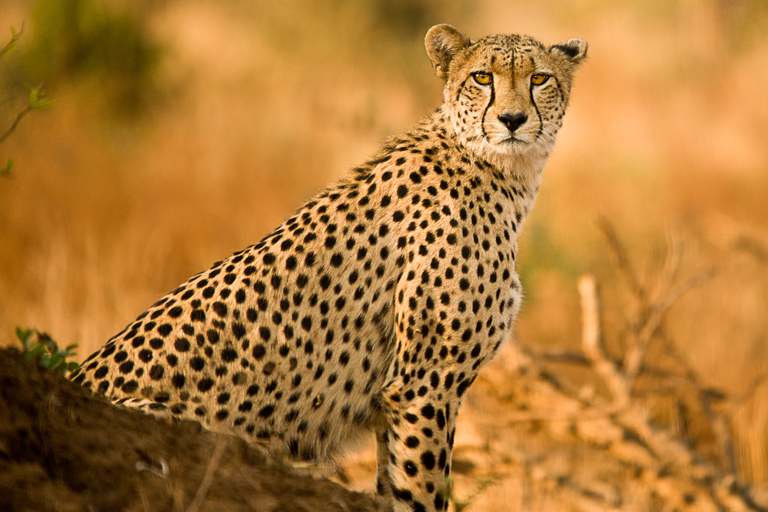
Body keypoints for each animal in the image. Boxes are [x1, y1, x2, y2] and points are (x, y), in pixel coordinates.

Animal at [72, 24, 588, 512]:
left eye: (539, 79)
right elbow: (422, 487)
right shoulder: (423, 386)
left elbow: (393, 484)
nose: (512, 119)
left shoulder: (399, 395)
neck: (495, 168)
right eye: (482, 78)